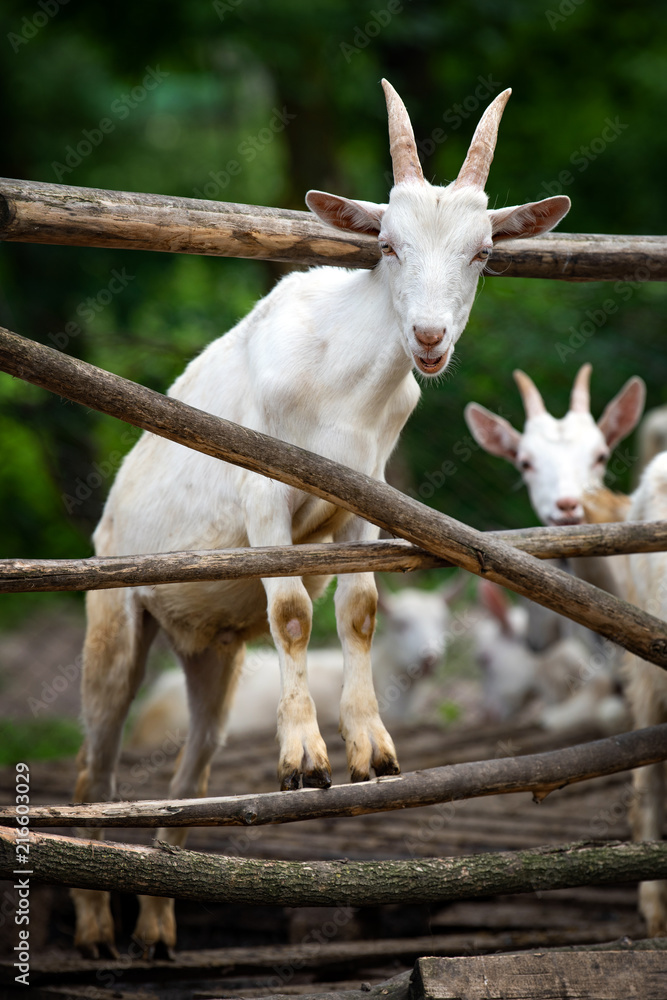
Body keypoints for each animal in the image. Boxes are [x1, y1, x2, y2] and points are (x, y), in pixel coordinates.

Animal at [70, 82, 572, 956]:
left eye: (482, 252)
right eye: (387, 245)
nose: (429, 338)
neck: (341, 378)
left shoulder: (366, 493)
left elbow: (361, 607)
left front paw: (372, 751)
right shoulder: (262, 492)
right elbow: (295, 611)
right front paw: (305, 761)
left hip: (212, 657)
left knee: (193, 767)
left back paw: (159, 927)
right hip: (115, 609)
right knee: (94, 766)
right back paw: (99, 928)